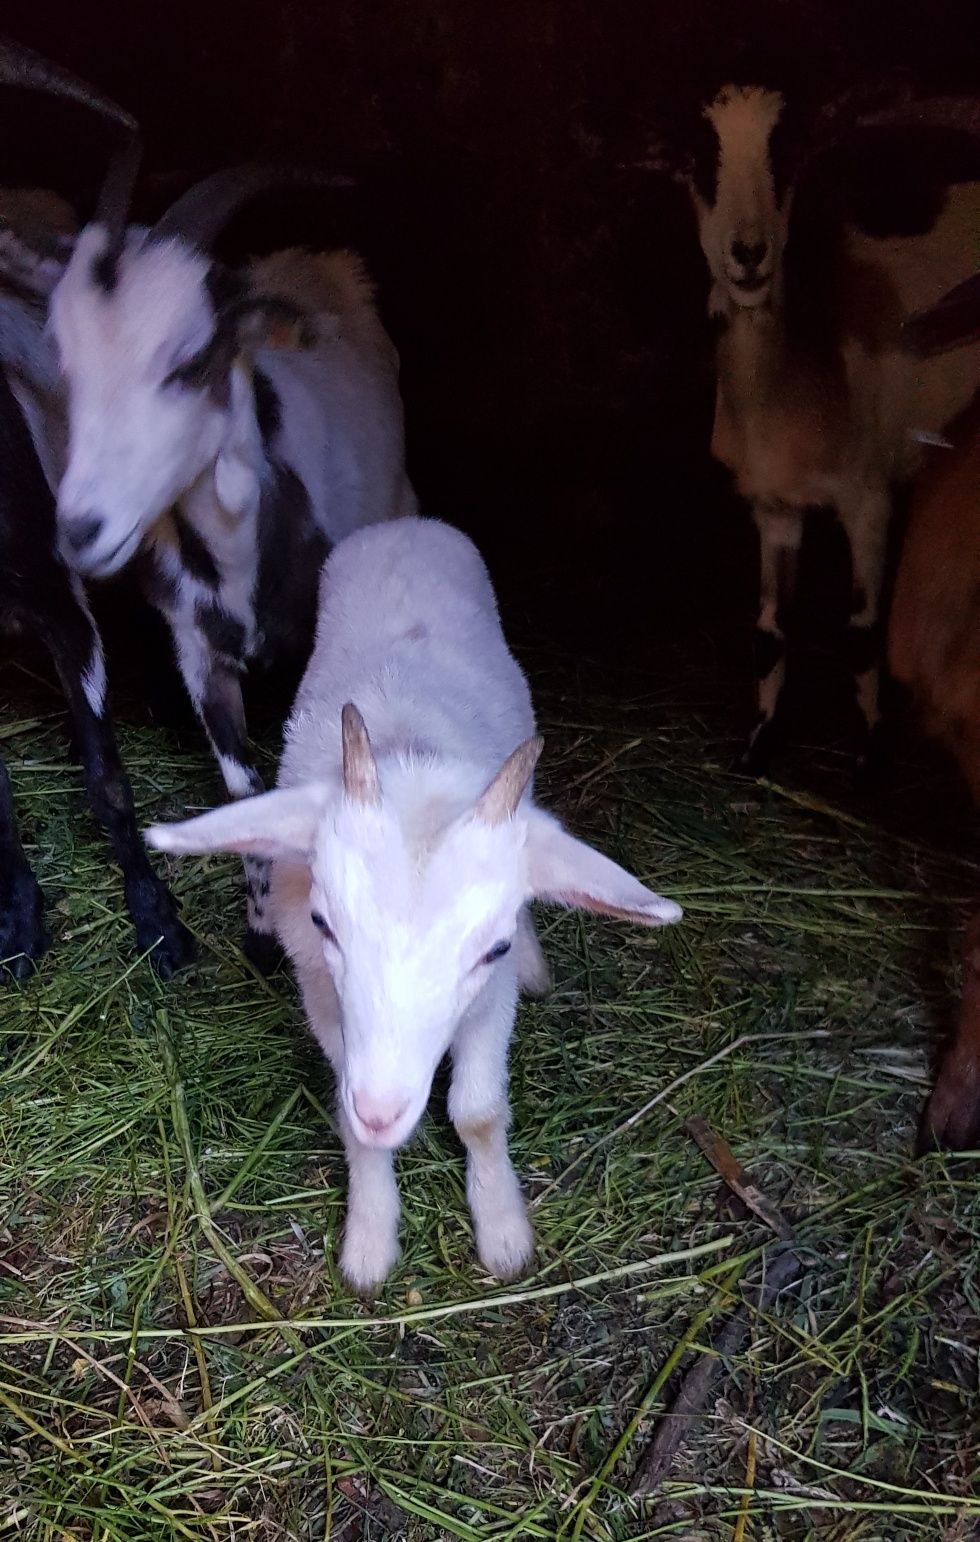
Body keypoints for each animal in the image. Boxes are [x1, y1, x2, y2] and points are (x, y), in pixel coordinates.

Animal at [41, 147, 416, 962]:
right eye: (66, 360)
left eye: (188, 362)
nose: (81, 531)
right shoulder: (197, 651)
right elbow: (246, 787)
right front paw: (259, 926)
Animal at [647, 75, 980, 771]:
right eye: (699, 160)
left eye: (788, 152)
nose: (749, 254)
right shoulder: (772, 506)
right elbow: (769, 633)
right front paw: (759, 744)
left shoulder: (868, 500)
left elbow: (860, 634)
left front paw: (870, 753)